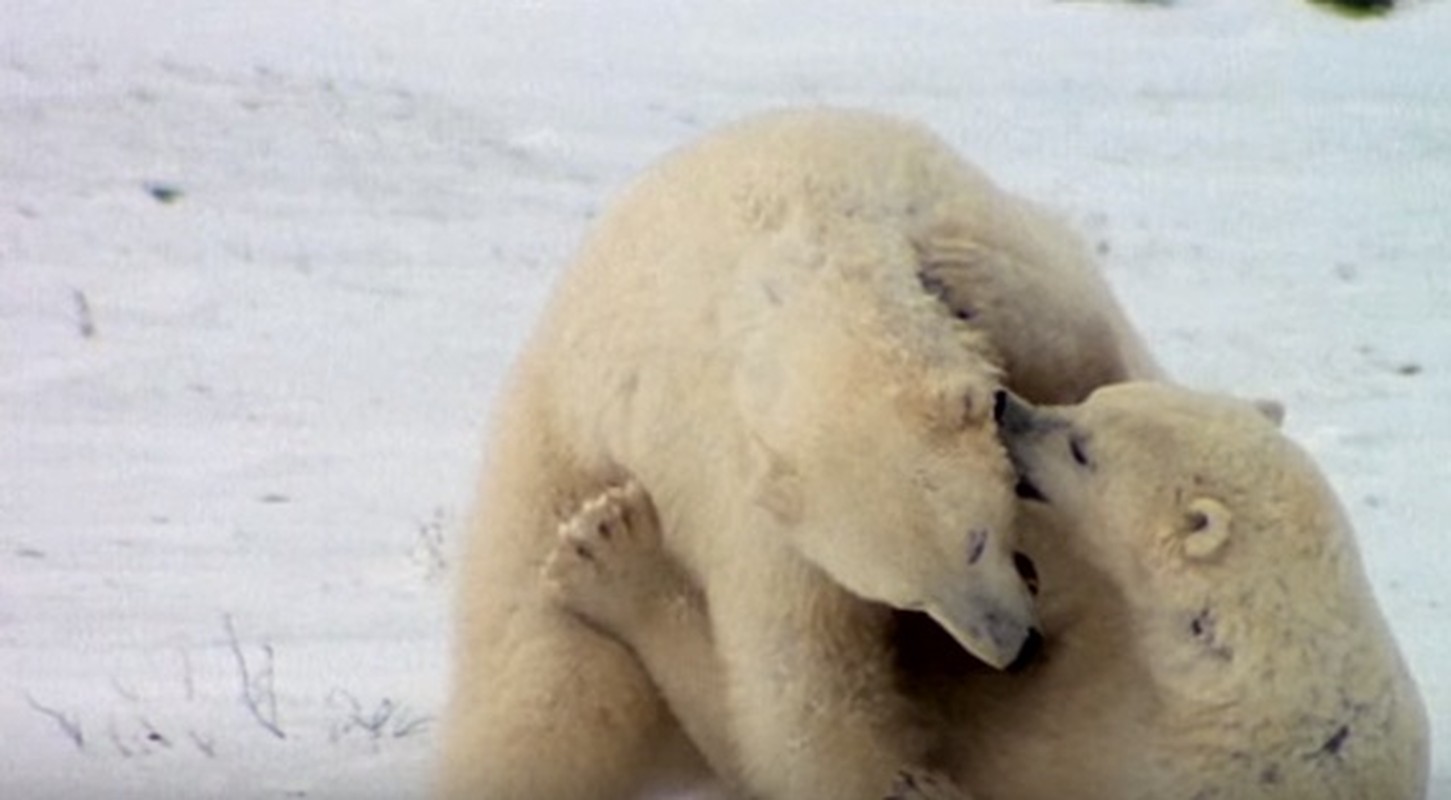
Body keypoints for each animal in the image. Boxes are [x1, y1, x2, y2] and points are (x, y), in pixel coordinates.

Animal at [438, 111, 1166, 800]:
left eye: (976, 540)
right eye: (907, 597)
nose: (1014, 649)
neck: (817, 260)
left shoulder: (985, 237)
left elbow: (1097, 361)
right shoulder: (750, 501)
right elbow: (804, 687)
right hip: (555, 459)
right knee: (548, 681)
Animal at [551, 383, 1427, 800]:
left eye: (1082, 449)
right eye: (1095, 397)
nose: (1008, 406)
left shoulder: (1116, 750)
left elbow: (835, 761)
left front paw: (608, 551)